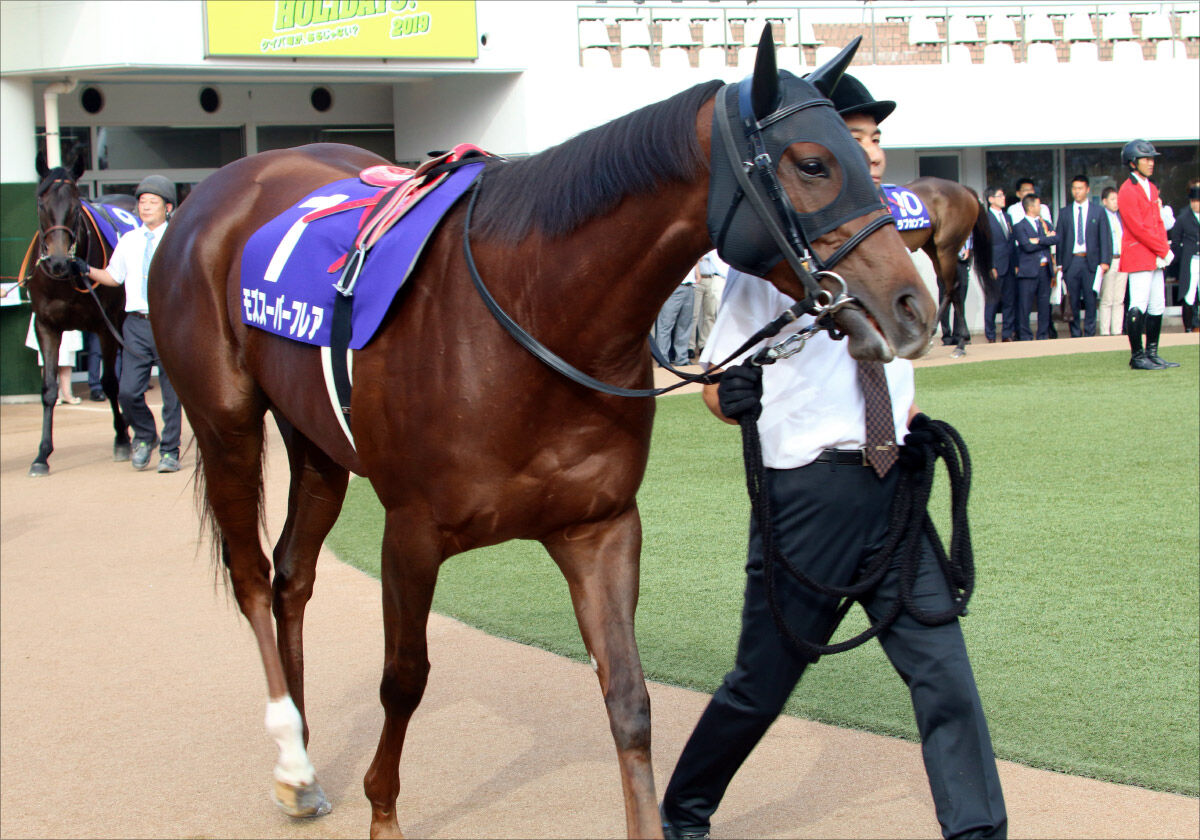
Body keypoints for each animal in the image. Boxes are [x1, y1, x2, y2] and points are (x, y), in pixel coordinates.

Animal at [25, 149, 132, 476]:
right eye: (41, 203)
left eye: (75, 205)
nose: (59, 261)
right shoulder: (46, 326)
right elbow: (48, 388)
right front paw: (42, 454)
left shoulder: (105, 324)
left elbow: (110, 382)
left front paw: (122, 440)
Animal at [150, 31, 936, 839]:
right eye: (812, 163)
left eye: (864, 157)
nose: (913, 306)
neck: (532, 313)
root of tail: (221, 188)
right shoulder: (411, 533)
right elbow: (404, 679)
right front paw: (384, 812)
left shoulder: (600, 526)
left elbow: (629, 698)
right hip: (225, 423)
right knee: (251, 576)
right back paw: (291, 754)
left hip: (315, 446)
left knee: (292, 575)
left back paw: (301, 760)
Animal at [898, 177, 992, 352]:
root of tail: (966, 190)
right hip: (933, 248)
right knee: (952, 287)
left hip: (946, 247)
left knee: (951, 288)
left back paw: (960, 343)